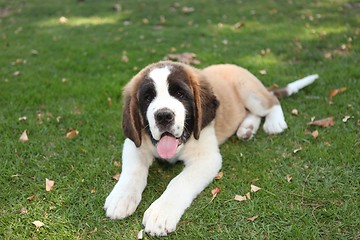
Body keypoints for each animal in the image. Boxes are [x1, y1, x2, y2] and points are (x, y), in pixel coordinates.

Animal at [104, 60, 318, 236]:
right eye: (148, 98)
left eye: (180, 94)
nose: (163, 116)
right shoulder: (135, 143)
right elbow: (133, 172)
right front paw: (121, 198)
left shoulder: (206, 158)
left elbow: (179, 182)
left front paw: (161, 213)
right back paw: (246, 129)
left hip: (250, 92)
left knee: (272, 102)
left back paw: (274, 123)